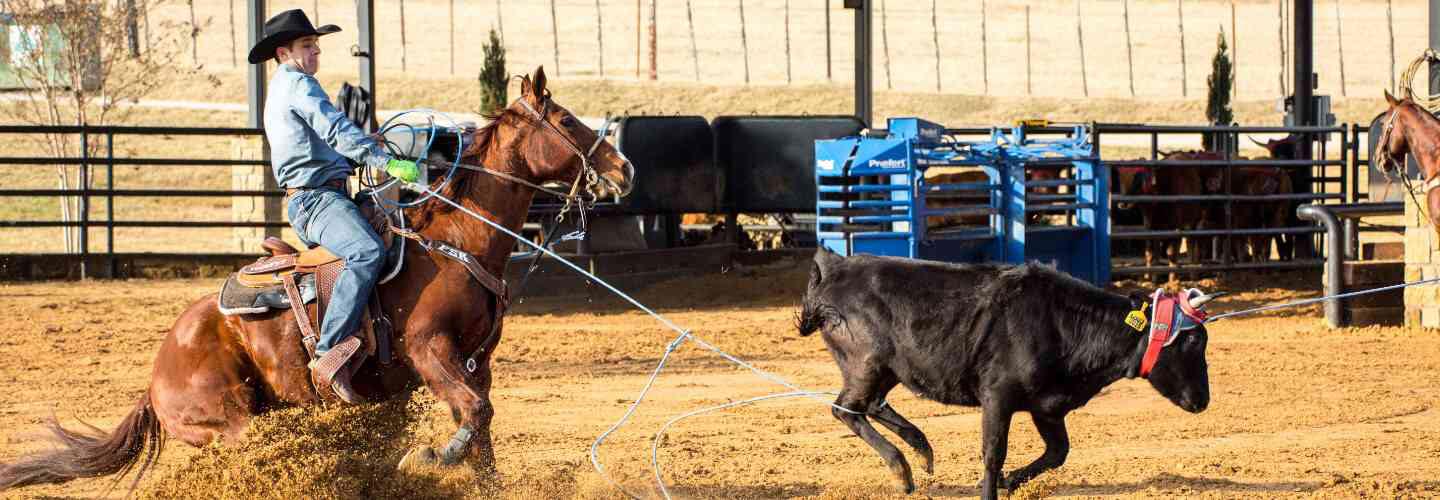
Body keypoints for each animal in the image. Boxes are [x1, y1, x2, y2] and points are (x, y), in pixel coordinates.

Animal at [1, 67, 630, 492]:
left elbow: (481, 426)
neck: (457, 240)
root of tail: (155, 377)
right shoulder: (429, 349)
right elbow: (474, 416)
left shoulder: (477, 362)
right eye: (567, 121)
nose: (624, 169)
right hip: (231, 421)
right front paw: (428, 458)